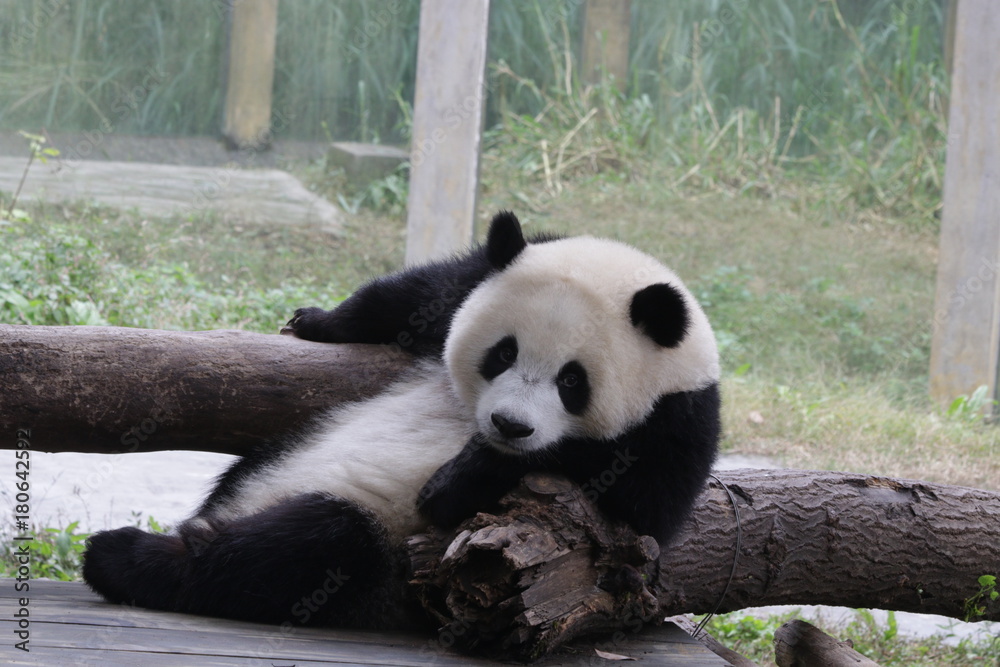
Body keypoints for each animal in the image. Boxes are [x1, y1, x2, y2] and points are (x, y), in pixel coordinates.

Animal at [82, 211, 721, 630]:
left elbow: (632, 510)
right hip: (278, 456)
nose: (509, 425)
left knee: (308, 548)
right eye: (503, 353)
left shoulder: (678, 420)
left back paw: (132, 556)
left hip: (388, 554)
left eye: (572, 381)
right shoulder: (474, 279)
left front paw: (459, 479)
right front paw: (317, 320)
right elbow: (414, 295)